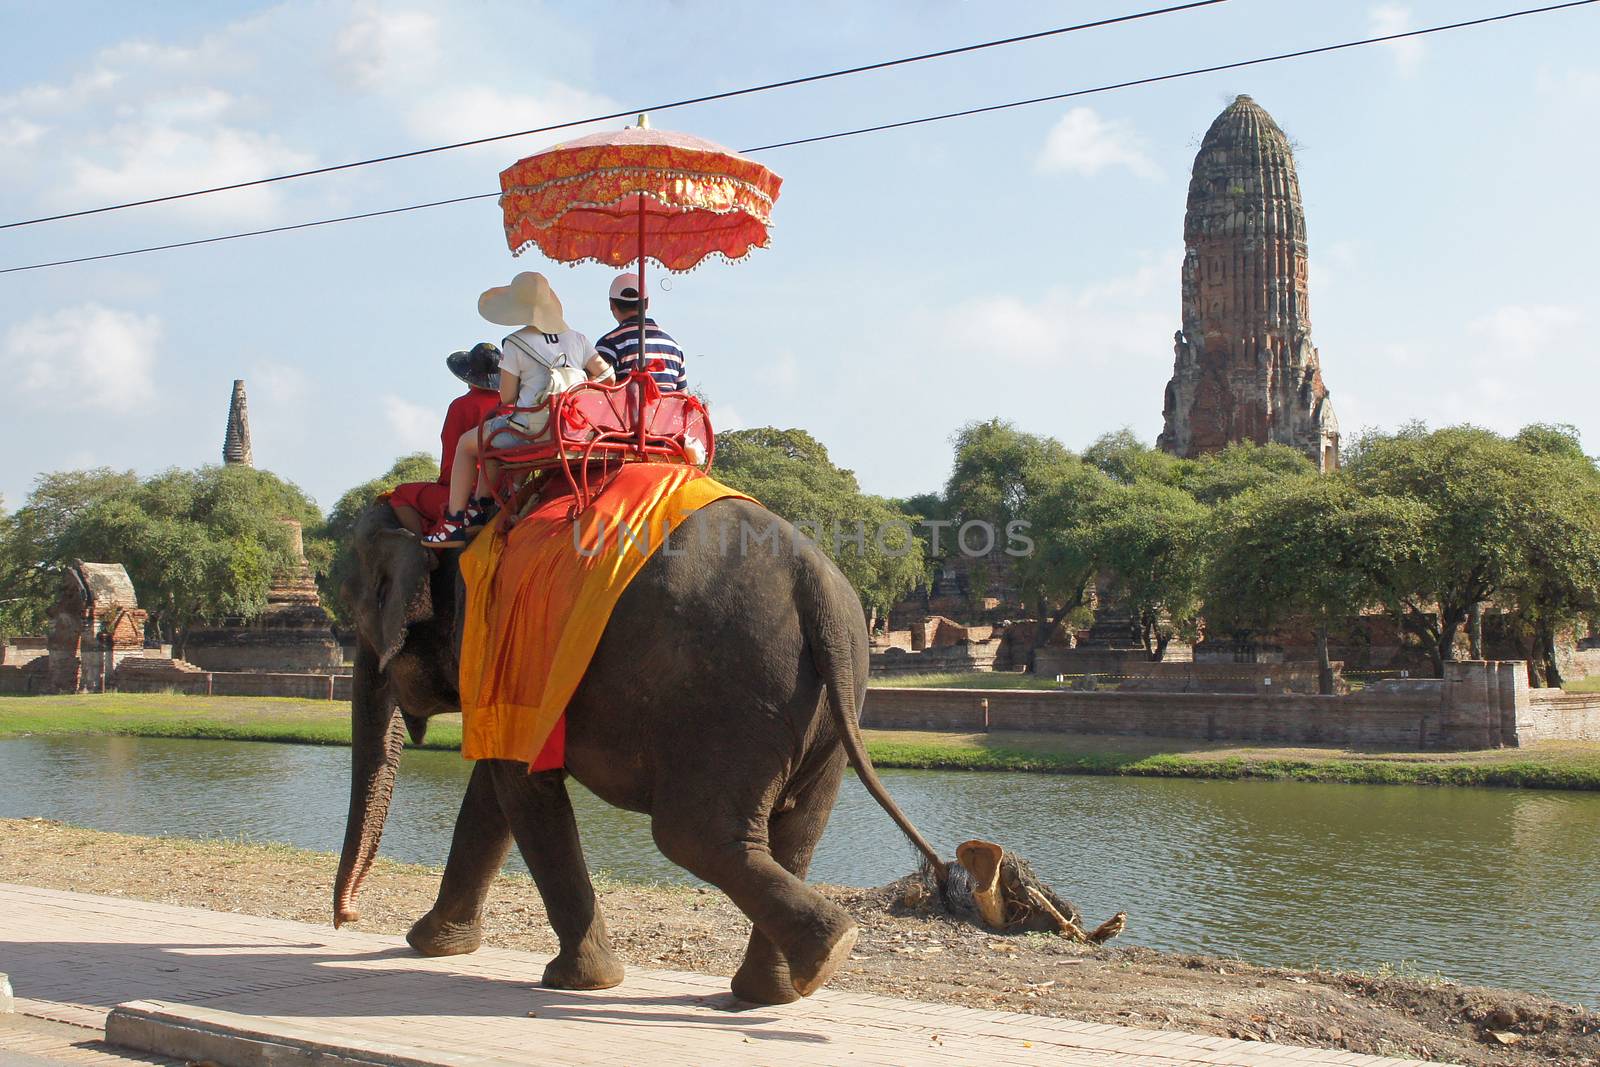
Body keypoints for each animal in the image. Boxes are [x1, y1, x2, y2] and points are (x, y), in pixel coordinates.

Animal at [329, 495, 940, 1004]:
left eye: (358, 605)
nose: (346, 918)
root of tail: (816, 584)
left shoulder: (504, 646)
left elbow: (518, 784)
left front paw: (582, 982)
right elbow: (494, 791)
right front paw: (431, 944)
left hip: (730, 698)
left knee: (692, 834)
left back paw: (824, 955)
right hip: (832, 699)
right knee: (797, 833)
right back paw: (778, 990)